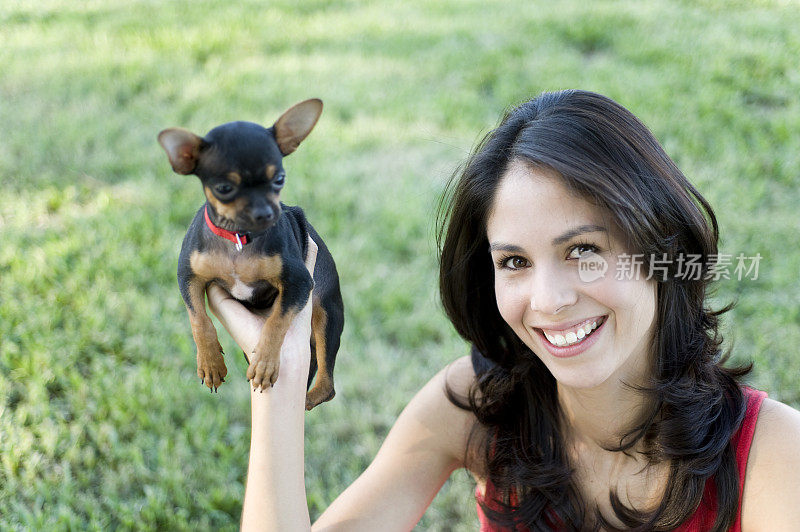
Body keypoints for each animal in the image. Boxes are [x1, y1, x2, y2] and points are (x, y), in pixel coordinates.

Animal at [158, 97, 342, 410]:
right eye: (224, 188)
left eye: (279, 179)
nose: (266, 213)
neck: (238, 239)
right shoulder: (188, 277)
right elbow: (198, 319)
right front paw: (210, 364)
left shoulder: (298, 282)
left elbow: (276, 322)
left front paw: (266, 363)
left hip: (327, 311)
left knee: (327, 384)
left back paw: (302, 401)